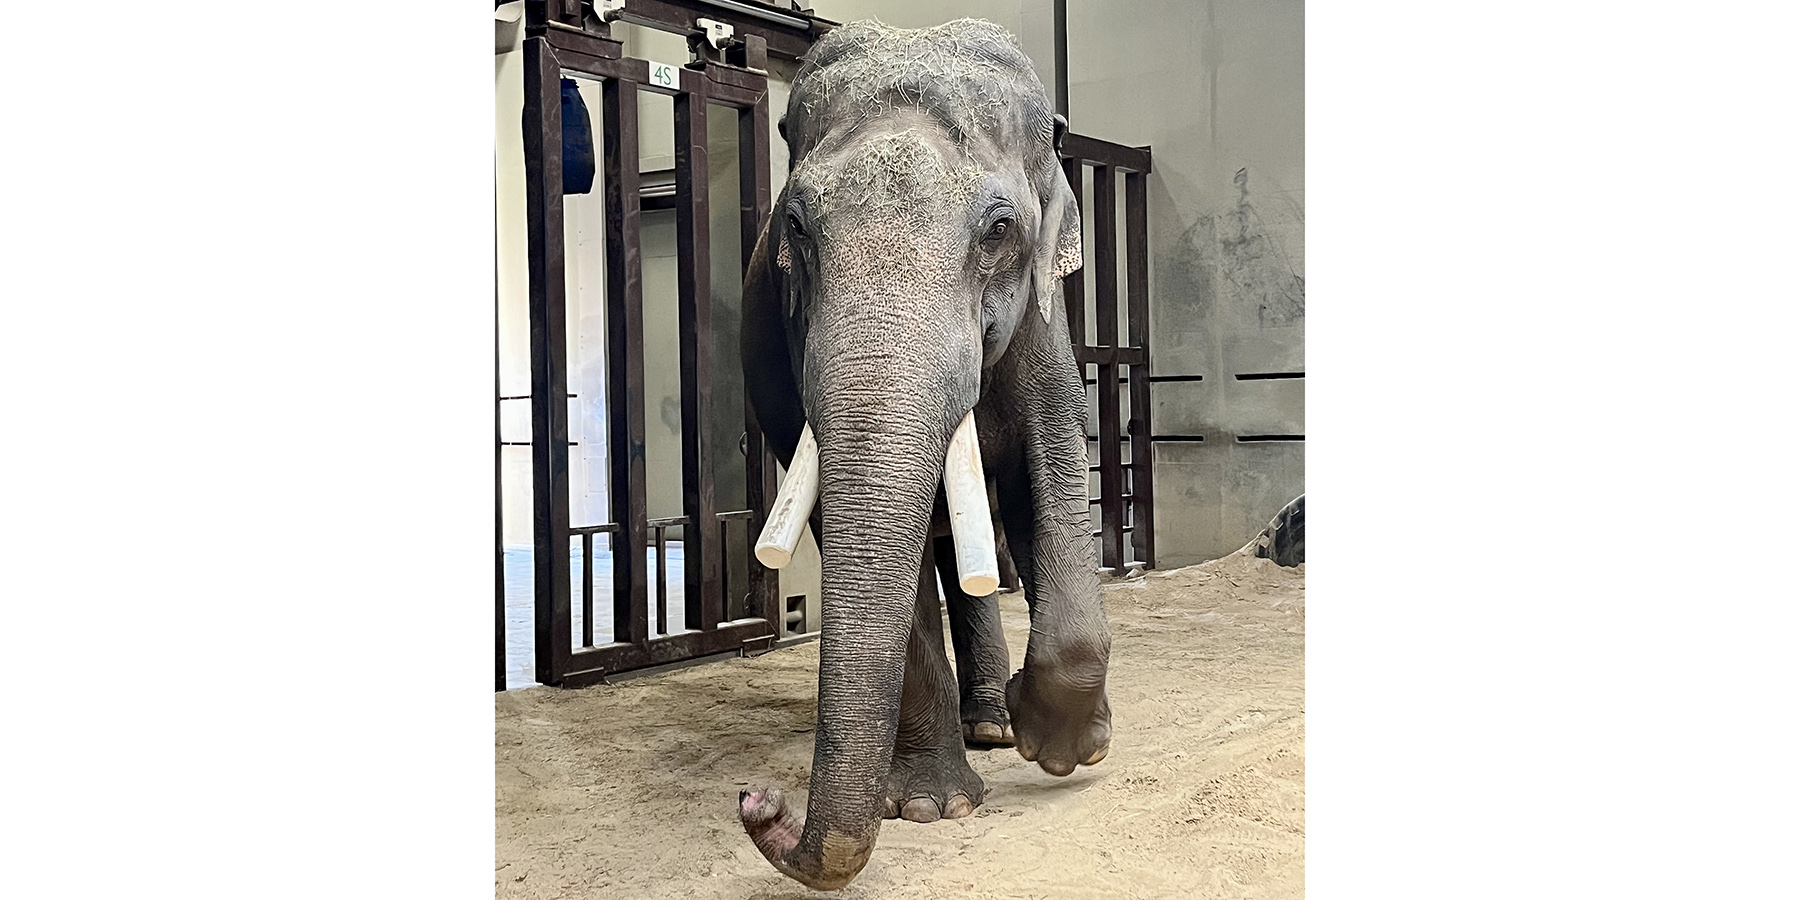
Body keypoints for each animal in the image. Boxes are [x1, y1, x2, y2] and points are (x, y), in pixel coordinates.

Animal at [734, 17, 1108, 889]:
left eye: (1000, 229)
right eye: (794, 227)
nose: (758, 803)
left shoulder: (1042, 321)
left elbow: (1048, 471)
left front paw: (1060, 745)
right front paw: (935, 809)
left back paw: (997, 727)